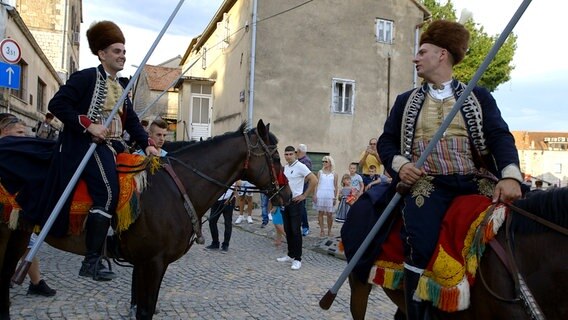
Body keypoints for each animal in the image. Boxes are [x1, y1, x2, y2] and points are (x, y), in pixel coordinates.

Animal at [0, 120, 290, 320]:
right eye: (276, 157)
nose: (286, 195)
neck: (175, 189)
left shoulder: (142, 263)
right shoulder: (154, 263)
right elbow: (145, 311)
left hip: (18, 233)